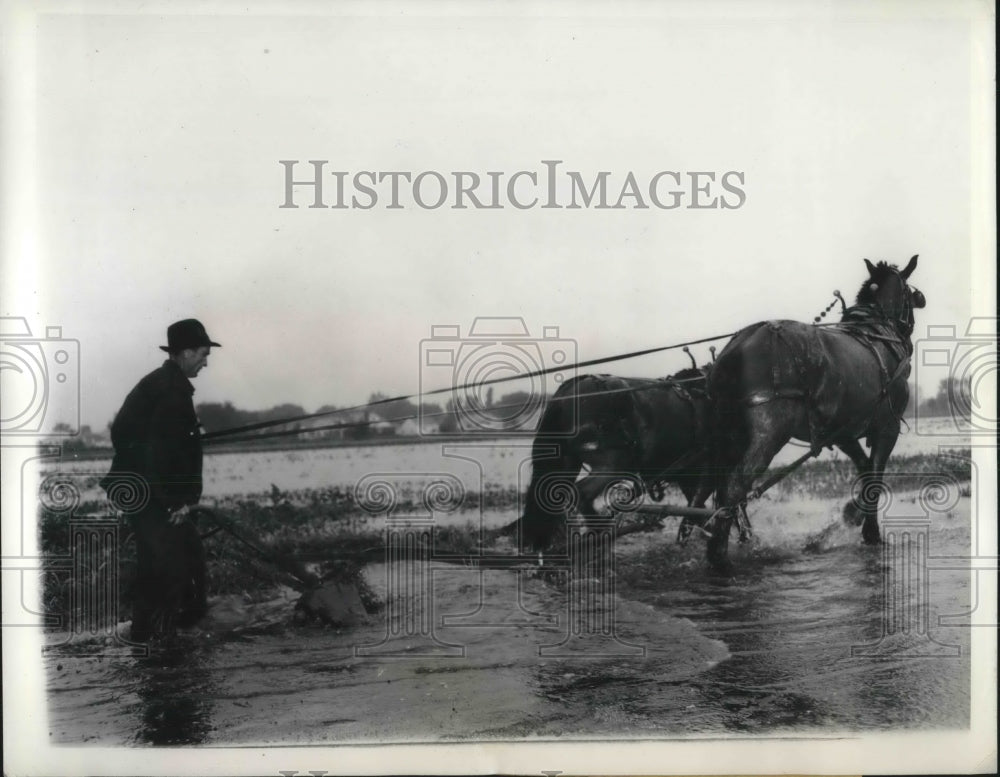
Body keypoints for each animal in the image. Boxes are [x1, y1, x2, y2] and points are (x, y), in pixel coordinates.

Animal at [516, 366, 720, 552]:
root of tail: (567, 394)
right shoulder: (704, 465)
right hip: (614, 463)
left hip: (569, 461)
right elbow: (699, 501)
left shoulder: (686, 470)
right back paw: (599, 533)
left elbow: (695, 502)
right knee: (582, 493)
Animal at [704, 258, 928, 568]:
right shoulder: (887, 428)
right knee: (734, 487)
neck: (877, 333)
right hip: (770, 432)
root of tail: (737, 348)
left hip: (729, 435)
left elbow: (864, 471)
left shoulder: (843, 432)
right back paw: (720, 558)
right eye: (909, 290)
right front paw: (870, 532)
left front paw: (853, 515)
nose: (921, 300)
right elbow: (875, 478)